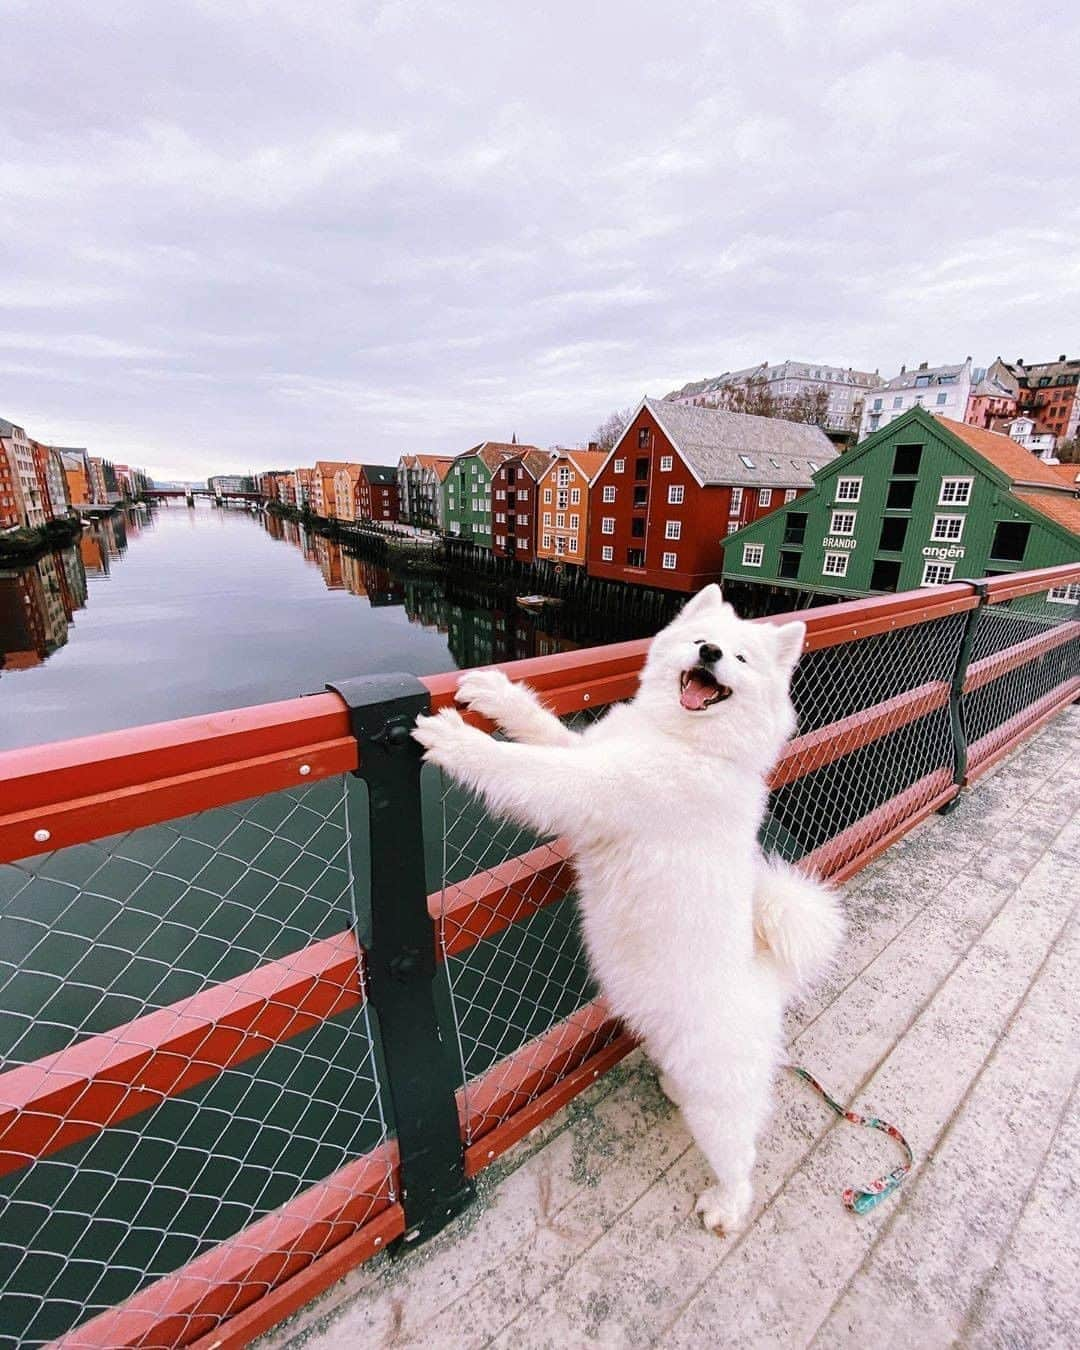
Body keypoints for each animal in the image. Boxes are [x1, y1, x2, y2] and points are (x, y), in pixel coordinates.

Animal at [413, 580, 842, 1236]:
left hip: (720, 1099)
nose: (711, 652)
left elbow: (520, 765)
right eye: (701, 640)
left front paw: (458, 740)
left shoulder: (586, 786)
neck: (681, 740)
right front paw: (493, 693)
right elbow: (539, 725)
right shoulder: (589, 752)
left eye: (740, 659)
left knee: (740, 1155)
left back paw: (725, 1206)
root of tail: (769, 978)